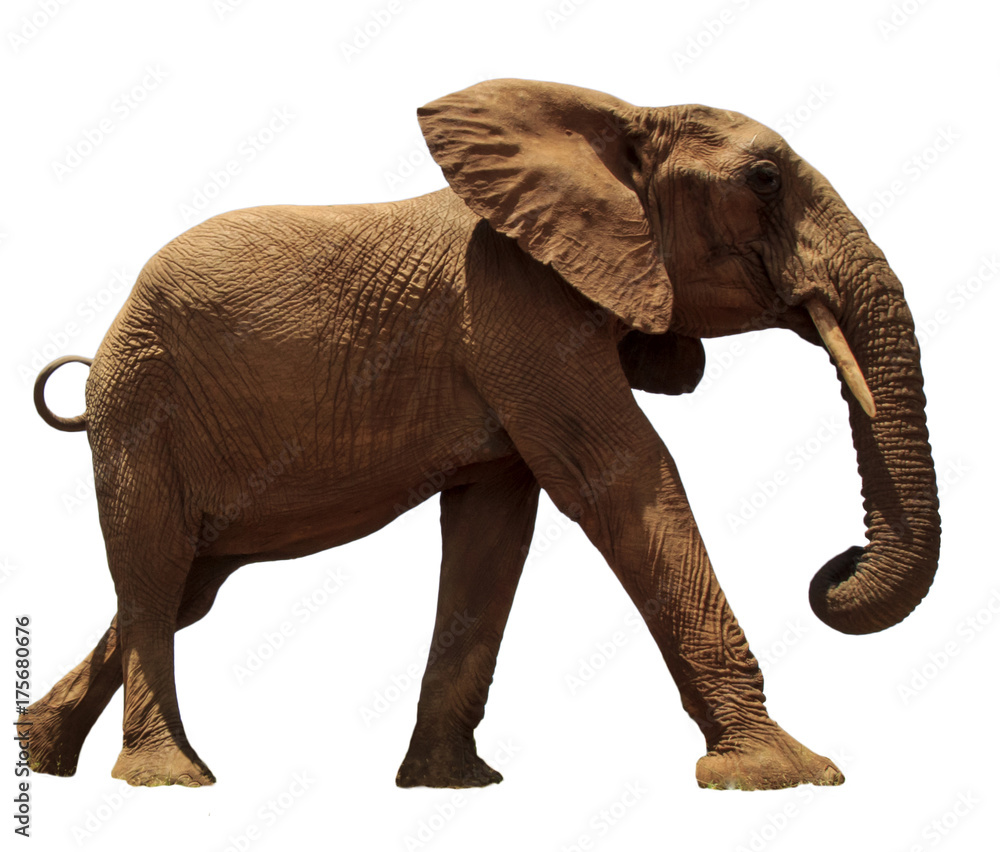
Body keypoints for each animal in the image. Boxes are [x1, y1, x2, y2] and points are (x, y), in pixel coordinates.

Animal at [22, 79, 940, 791]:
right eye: (766, 179)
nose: (835, 568)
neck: (617, 118)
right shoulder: (517, 304)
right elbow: (626, 477)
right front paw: (788, 775)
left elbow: (495, 532)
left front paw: (450, 786)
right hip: (140, 408)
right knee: (153, 570)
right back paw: (168, 780)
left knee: (186, 584)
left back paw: (41, 755)